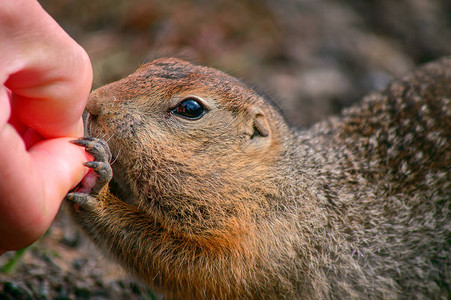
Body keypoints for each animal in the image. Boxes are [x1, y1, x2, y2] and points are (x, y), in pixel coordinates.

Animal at [67, 57, 451, 298]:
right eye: (152, 64)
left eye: (190, 108)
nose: (93, 102)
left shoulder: (270, 240)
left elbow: (197, 266)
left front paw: (98, 190)